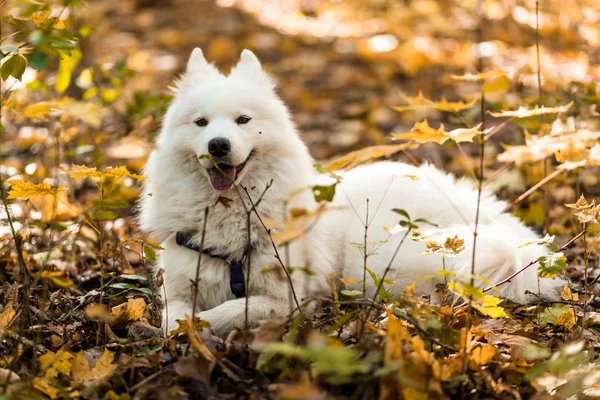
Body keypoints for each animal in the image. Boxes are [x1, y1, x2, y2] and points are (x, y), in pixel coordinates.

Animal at [138, 47, 564, 338]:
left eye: (243, 120)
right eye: (201, 123)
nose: (218, 145)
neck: (230, 217)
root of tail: (472, 205)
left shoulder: (287, 298)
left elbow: (225, 311)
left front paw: (200, 328)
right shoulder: (177, 285)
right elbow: (174, 314)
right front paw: (182, 331)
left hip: (375, 258)